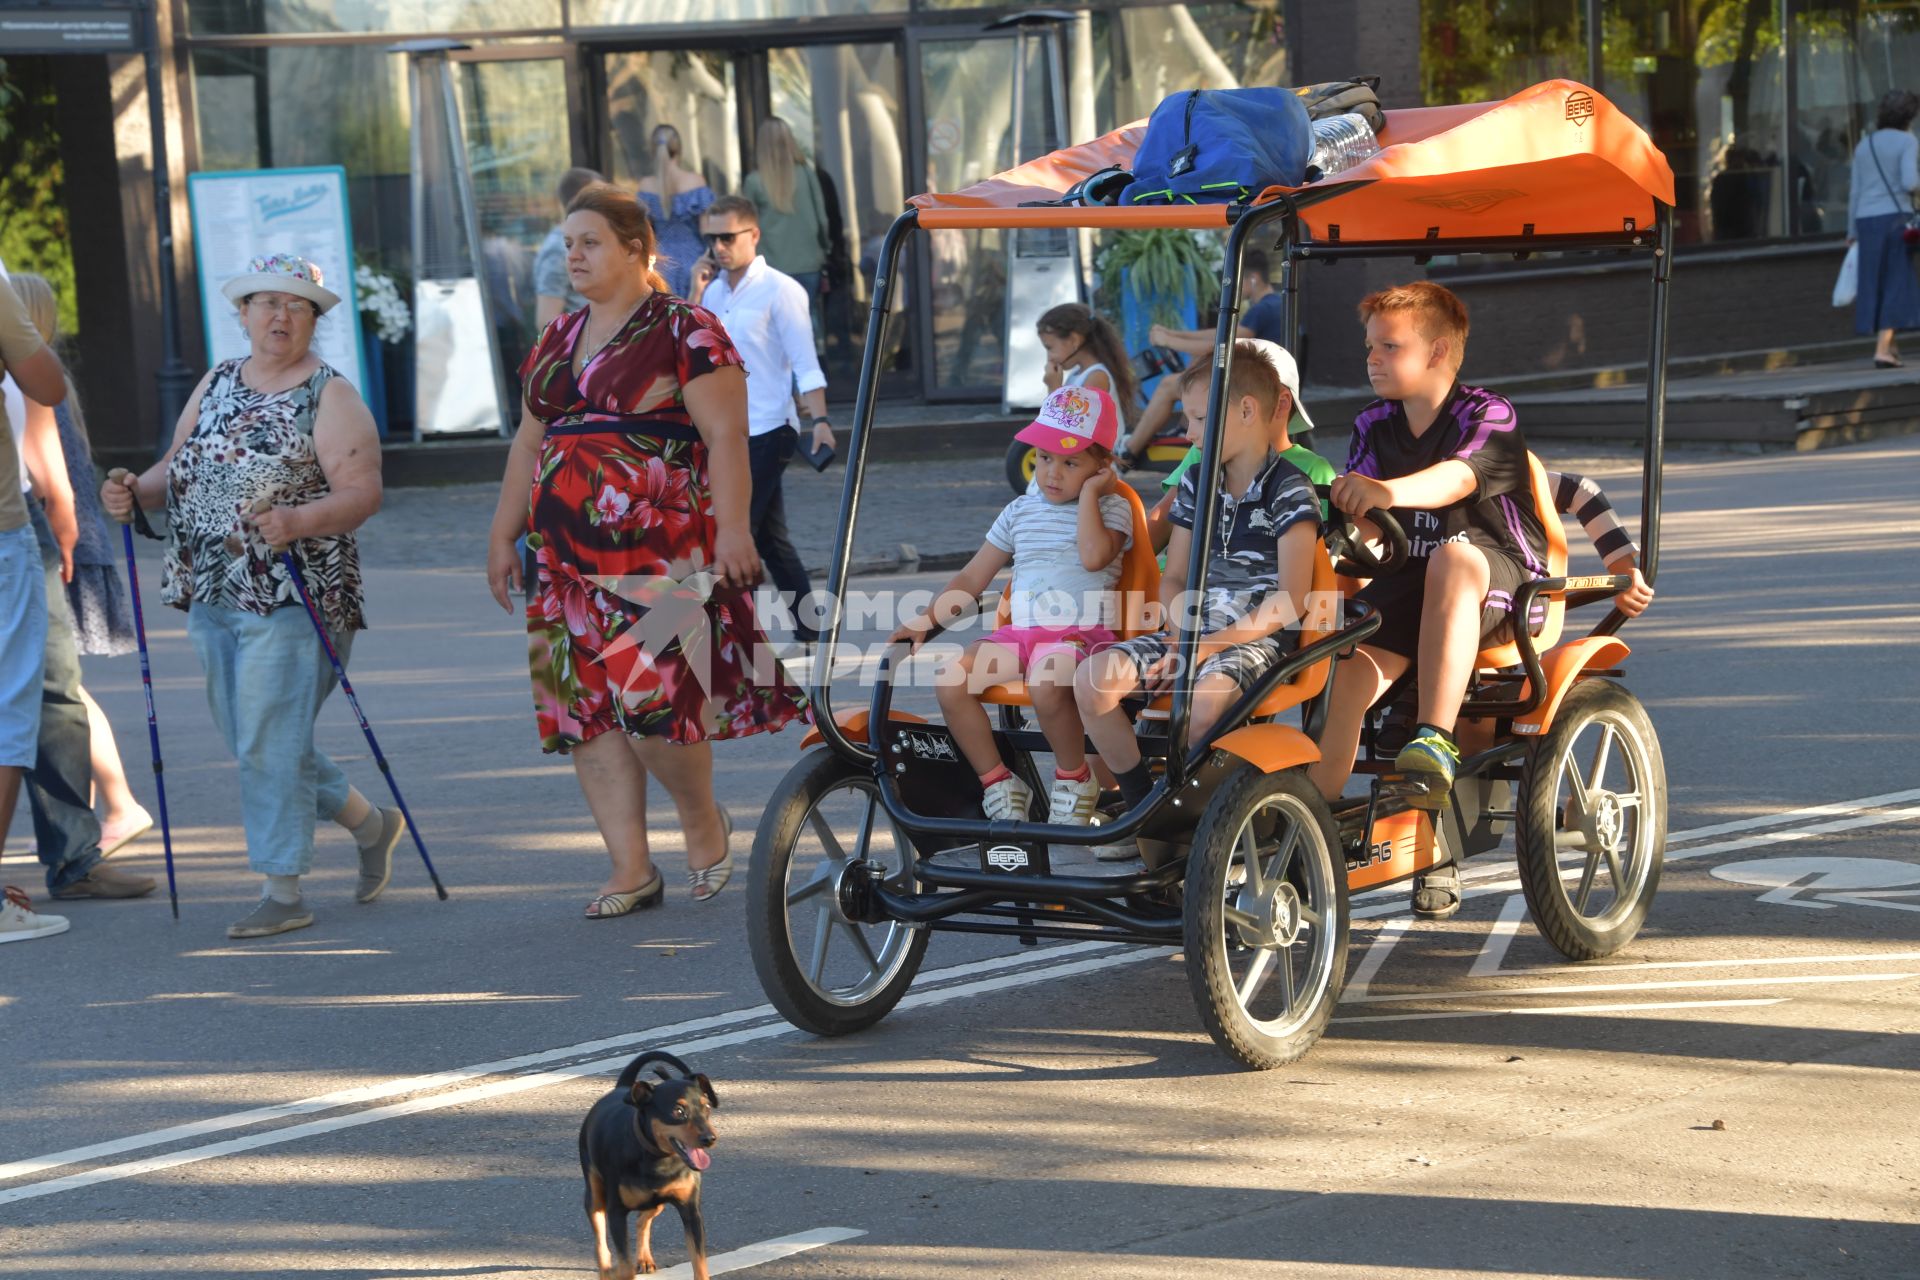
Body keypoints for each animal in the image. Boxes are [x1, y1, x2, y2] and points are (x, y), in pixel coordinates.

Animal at [576, 1051, 721, 1280]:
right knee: (601, 1242)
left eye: (706, 1107)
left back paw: (644, 1259)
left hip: (656, 1202)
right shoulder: (616, 1213)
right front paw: (619, 1271)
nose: (710, 1139)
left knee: (642, 1219)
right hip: (595, 1193)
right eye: (678, 1111)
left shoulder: (691, 1212)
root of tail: (622, 1087)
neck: (658, 1160)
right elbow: (625, 1266)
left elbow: (700, 1264)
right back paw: (606, 1268)